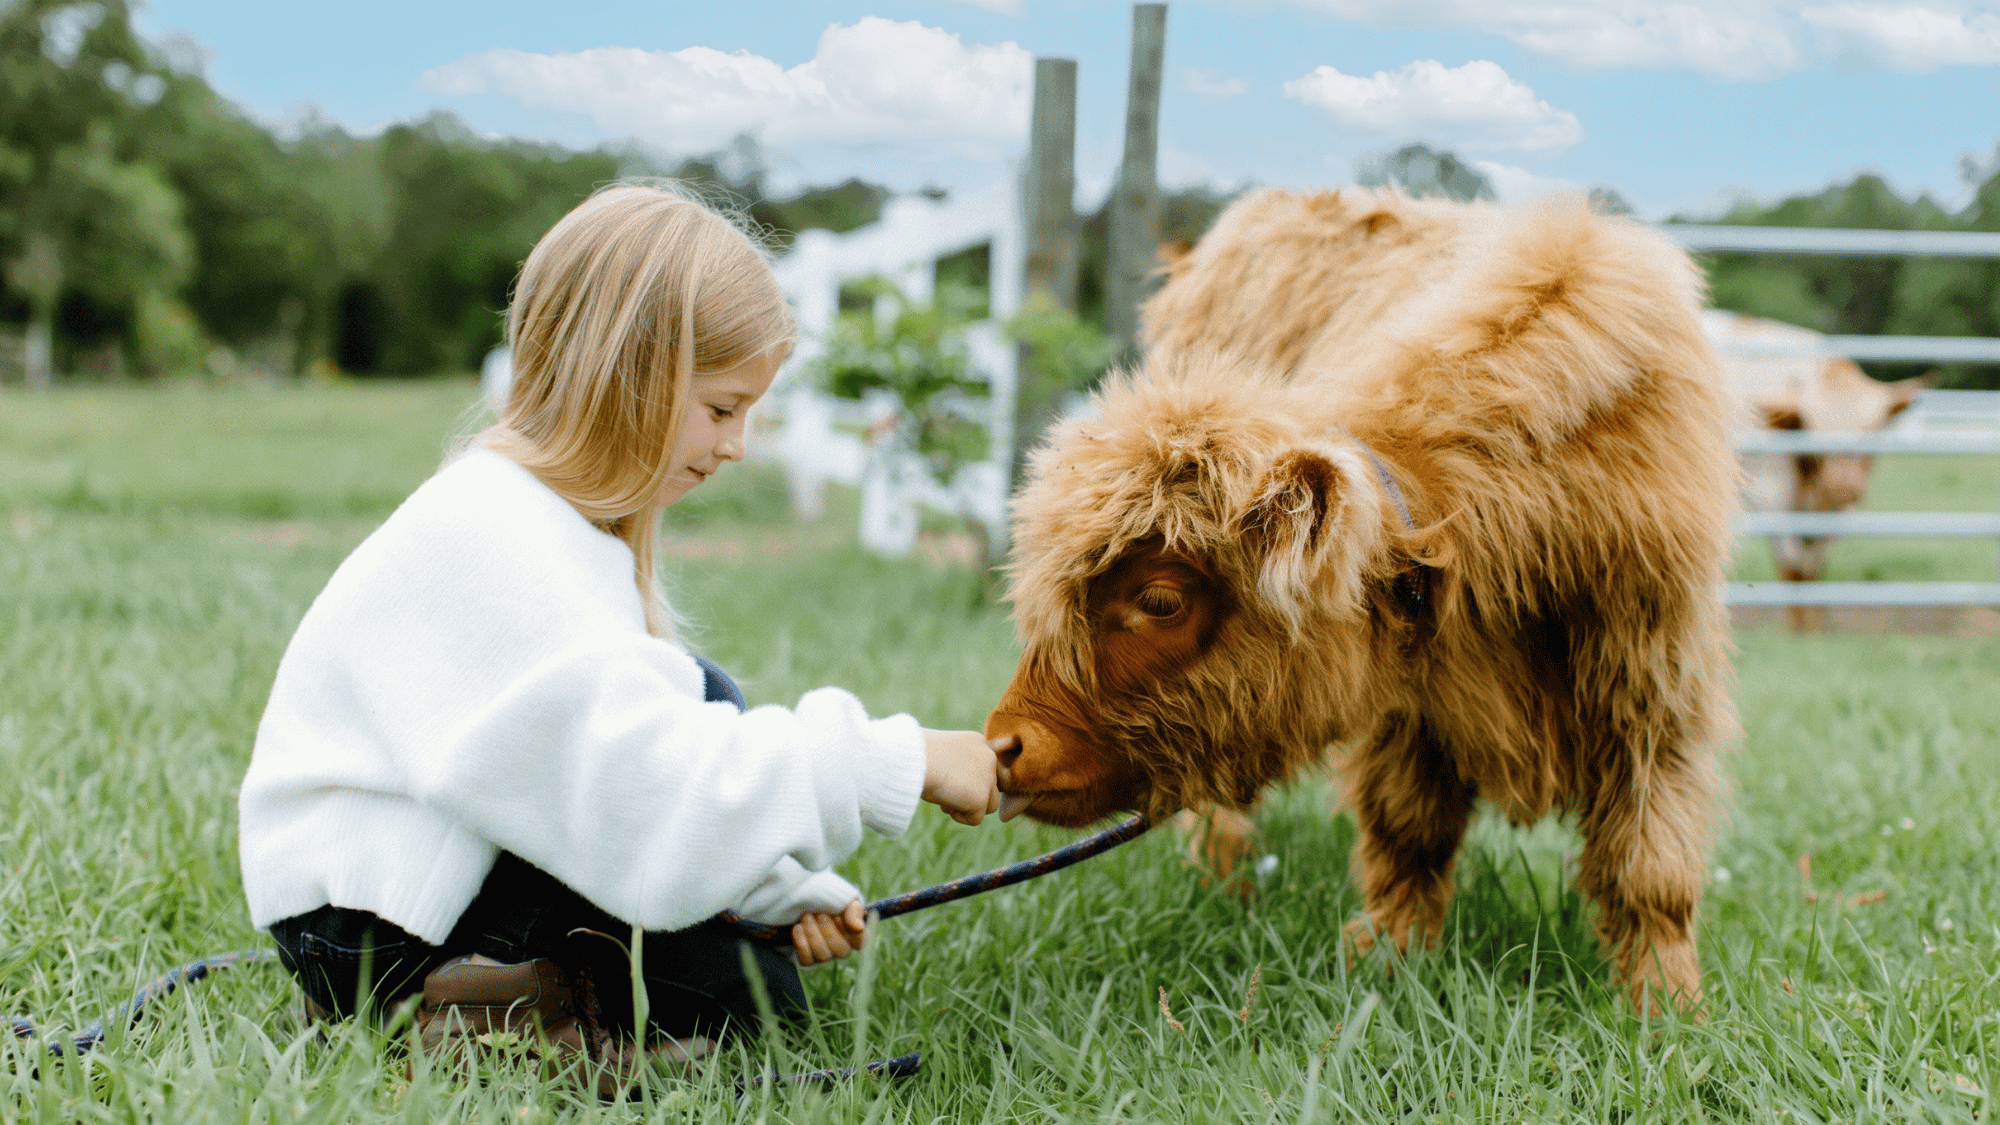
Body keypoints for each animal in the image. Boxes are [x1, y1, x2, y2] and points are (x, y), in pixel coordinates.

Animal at [985, 188, 1737, 1015]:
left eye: (1158, 599)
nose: (1003, 742)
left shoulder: (1657, 698)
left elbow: (1651, 871)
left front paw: (1666, 1009)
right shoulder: (1410, 713)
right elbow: (1409, 833)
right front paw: (1387, 961)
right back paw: (1224, 886)